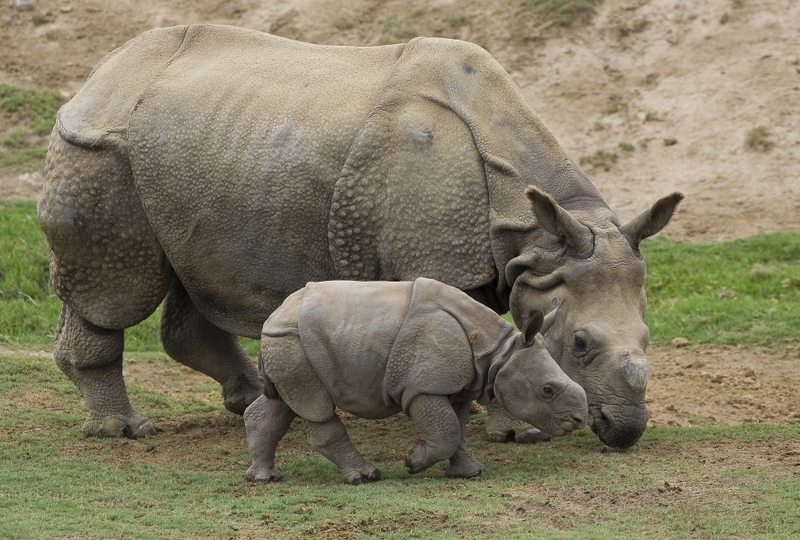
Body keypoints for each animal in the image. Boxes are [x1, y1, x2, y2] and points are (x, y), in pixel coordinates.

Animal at [38, 24, 682, 448]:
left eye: (650, 336)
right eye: (580, 345)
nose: (625, 431)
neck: (532, 238)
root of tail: (100, 73)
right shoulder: (445, 262)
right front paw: (515, 431)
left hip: (203, 153)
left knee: (193, 274)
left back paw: (253, 397)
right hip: (99, 148)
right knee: (118, 290)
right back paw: (124, 431)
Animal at [243, 277, 587, 484]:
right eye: (547, 390)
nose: (578, 420)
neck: (498, 352)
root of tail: (274, 315)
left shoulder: (460, 384)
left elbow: (456, 429)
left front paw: (469, 473)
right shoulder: (421, 387)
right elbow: (446, 430)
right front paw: (413, 461)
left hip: (287, 343)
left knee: (284, 402)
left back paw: (264, 478)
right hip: (293, 341)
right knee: (316, 407)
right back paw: (365, 477)